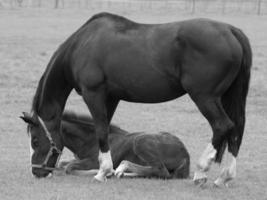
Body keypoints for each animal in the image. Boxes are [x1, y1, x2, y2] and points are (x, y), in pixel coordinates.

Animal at [54, 111, 191, 179]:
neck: (90, 140)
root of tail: (186, 154)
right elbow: (63, 164)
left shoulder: (93, 161)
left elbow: (69, 168)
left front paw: (104, 172)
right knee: (152, 171)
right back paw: (122, 173)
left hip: (140, 141)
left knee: (161, 171)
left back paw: (120, 169)